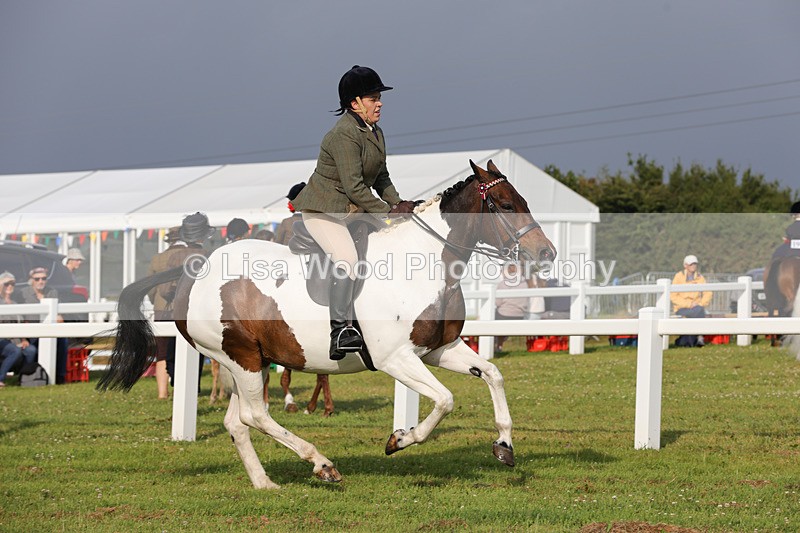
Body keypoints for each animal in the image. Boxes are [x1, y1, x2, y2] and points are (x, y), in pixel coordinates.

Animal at [98, 160, 556, 489]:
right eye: (507, 206)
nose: (546, 254)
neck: (424, 262)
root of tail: (194, 270)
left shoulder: (438, 349)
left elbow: (493, 375)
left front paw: (504, 446)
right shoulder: (395, 358)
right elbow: (444, 400)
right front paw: (400, 439)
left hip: (245, 361)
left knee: (237, 421)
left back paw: (264, 483)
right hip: (241, 357)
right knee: (256, 415)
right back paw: (321, 465)